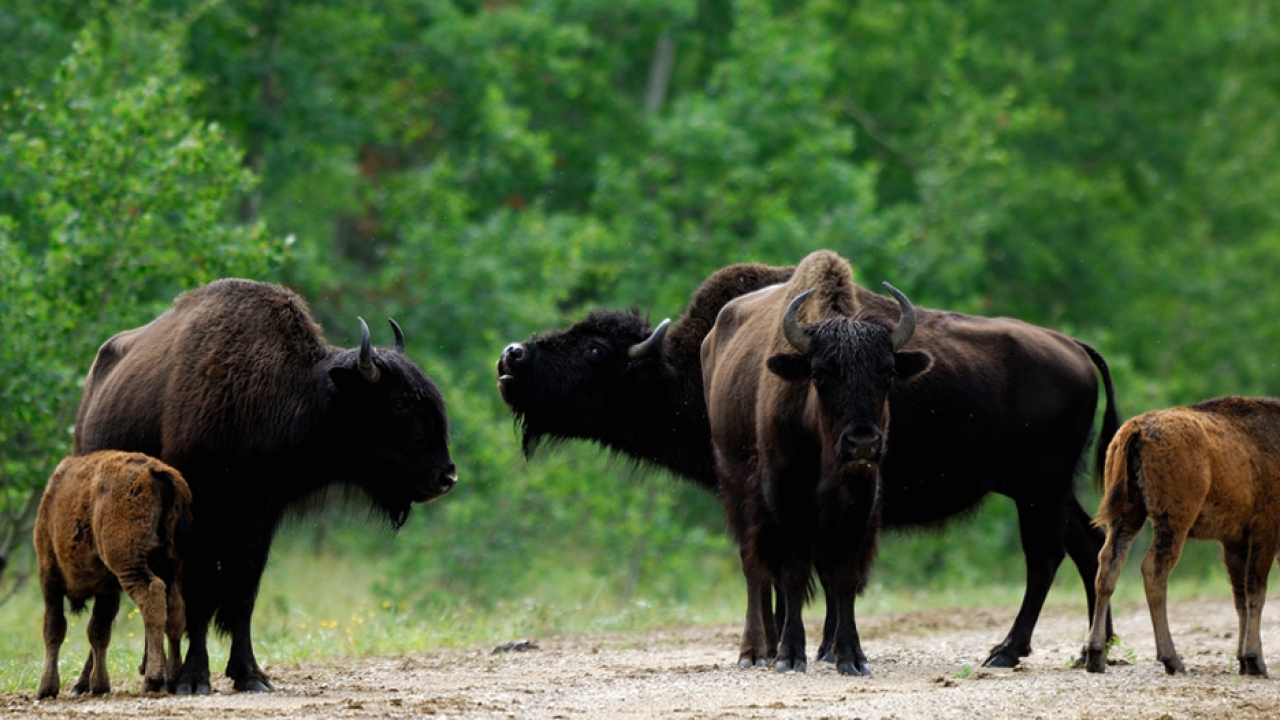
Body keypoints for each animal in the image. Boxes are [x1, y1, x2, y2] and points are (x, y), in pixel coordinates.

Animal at [34, 448, 192, 696]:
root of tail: (156, 472)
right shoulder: (108, 590)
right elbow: (99, 631)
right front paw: (99, 684)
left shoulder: (49, 576)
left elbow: (54, 628)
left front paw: (46, 687)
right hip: (171, 566)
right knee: (175, 610)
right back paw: (173, 677)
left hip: (130, 566)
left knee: (153, 598)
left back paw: (152, 679)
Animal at [73, 278, 455, 691]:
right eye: (399, 403)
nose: (446, 476)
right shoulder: (202, 518)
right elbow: (201, 595)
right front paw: (195, 678)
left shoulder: (259, 518)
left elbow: (242, 596)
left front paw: (250, 675)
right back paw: (87, 681)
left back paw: (151, 671)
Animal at [701, 249, 931, 671]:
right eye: (821, 374)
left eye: (888, 373)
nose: (862, 443)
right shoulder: (784, 492)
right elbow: (792, 572)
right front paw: (790, 655)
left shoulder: (860, 497)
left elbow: (842, 576)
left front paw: (850, 656)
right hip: (736, 486)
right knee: (754, 566)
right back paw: (756, 651)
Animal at [1080, 394, 1280, 676]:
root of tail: (1136, 429)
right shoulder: (1265, 530)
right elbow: (1256, 592)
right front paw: (1255, 662)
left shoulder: (1234, 540)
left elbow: (1240, 597)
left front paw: (1243, 661)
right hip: (1173, 521)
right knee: (1154, 571)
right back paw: (1172, 660)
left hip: (1128, 515)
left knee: (1108, 566)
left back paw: (1095, 656)